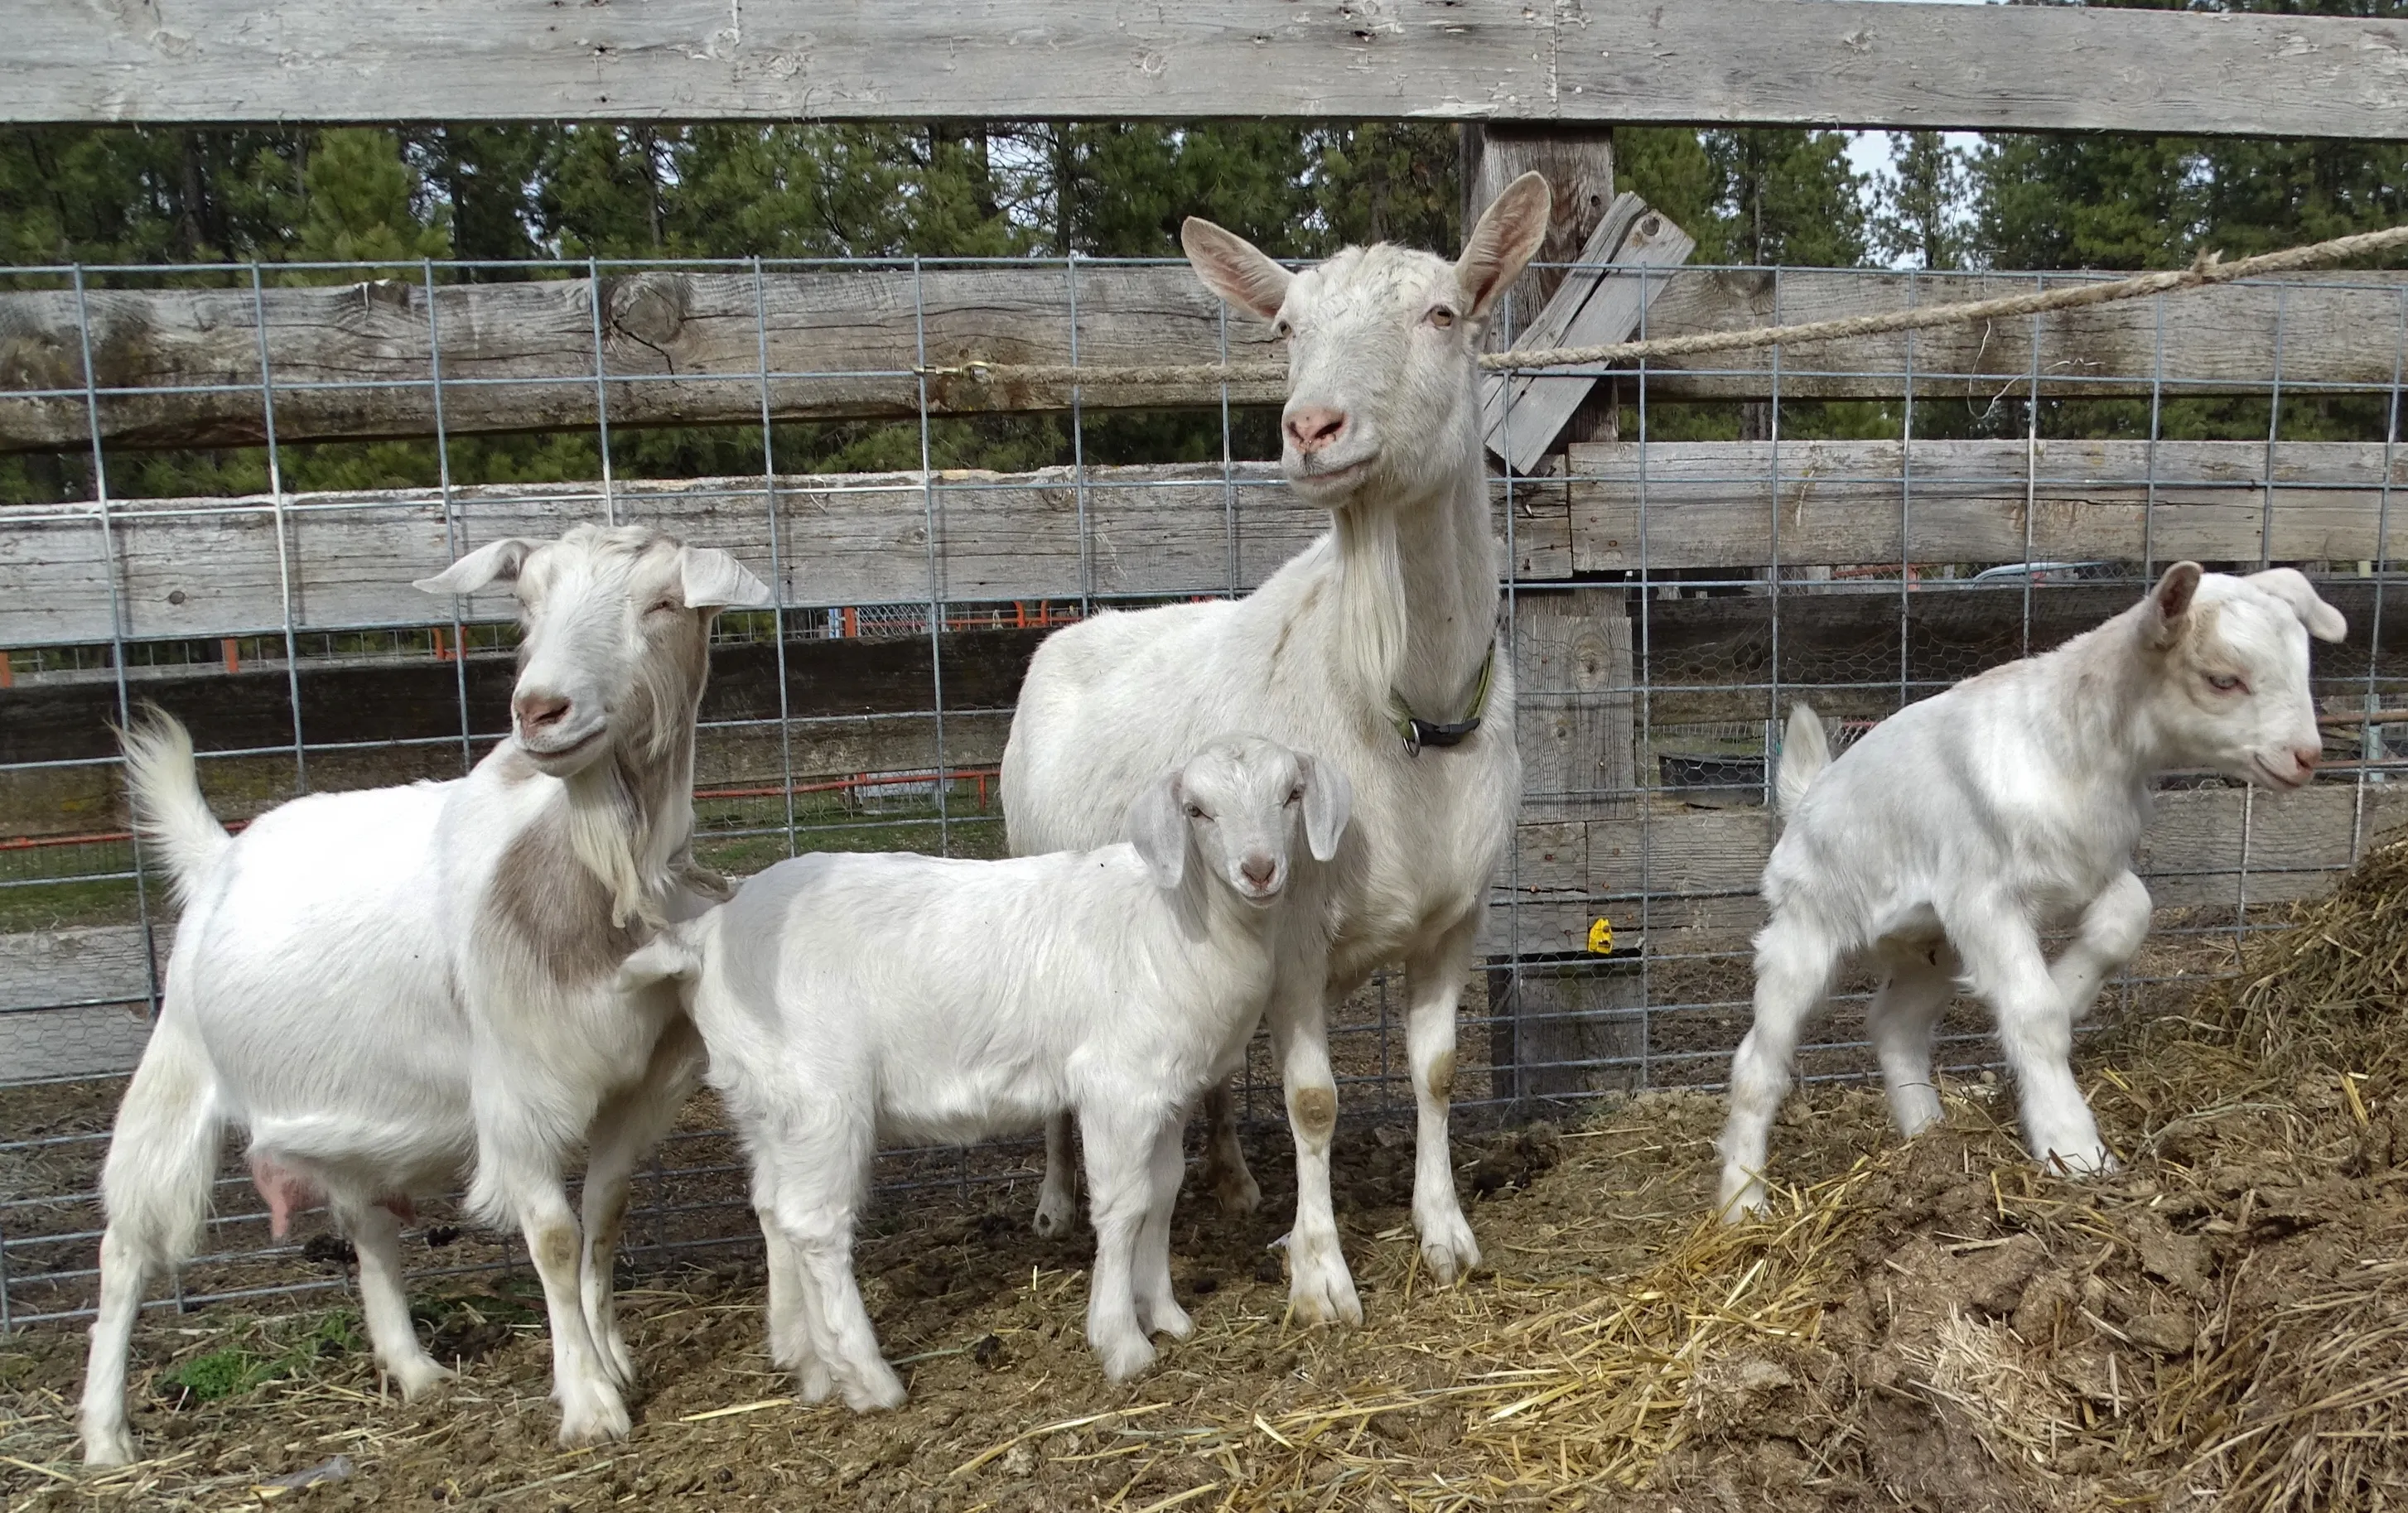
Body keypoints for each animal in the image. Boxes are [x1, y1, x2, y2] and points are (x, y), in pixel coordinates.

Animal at [79, 525, 769, 1464]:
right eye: (526, 603)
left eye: (664, 604)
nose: (540, 709)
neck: (585, 885)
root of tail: (218, 854)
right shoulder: (512, 1092)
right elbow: (555, 1236)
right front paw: (589, 1403)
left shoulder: (642, 1084)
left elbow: (605, 1213)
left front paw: (613, 1358)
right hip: (177, 1069)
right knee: (126, 1244)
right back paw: (105, 1436)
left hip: (345, 1109)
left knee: (367, 1226)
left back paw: (414, 1370)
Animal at [616, 736, 1349, 1401]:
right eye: (1196, 810)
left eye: (1291, 794)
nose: (1259, 869)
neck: (1175, 915)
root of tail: (702, 939)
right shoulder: (1117, 1085)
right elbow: (1124, 1204)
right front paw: (1122, 1341)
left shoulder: (1166, 1090)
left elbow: (1162, 1191)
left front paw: (1165, 1314)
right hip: (820, 1094)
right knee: (814, 1223)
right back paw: (869, 1378)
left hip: (764, 1096)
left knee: (772, 1207)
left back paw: (805, 1359)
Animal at [999, 176, 1550, 1325]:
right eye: (1287, 329)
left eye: (1443, 314)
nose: (1310, 426)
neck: (1403, 711)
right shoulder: (1295, 927)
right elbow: (1313, 1097)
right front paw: (1325, 1276)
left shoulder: (1456, 916)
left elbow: (1436, 1071)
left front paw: (1445, 1234)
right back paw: (1055, 1202)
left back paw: (1234, 1179)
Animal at [1715, 563, 2347, 1218]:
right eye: (2223, 678)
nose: (2306, 756)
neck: (2071, 749)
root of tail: (1803, 802)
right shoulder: (1983, 899)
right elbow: (2034, 1012)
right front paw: (2074, 1149)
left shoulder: (2088, 868)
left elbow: (2128, 917)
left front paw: (2070, 991)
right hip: (1805, 927)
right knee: (1758, 1064)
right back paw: (1742, 1202)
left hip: (1930, 946)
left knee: (1894, 1026)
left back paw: (1927, 1139)